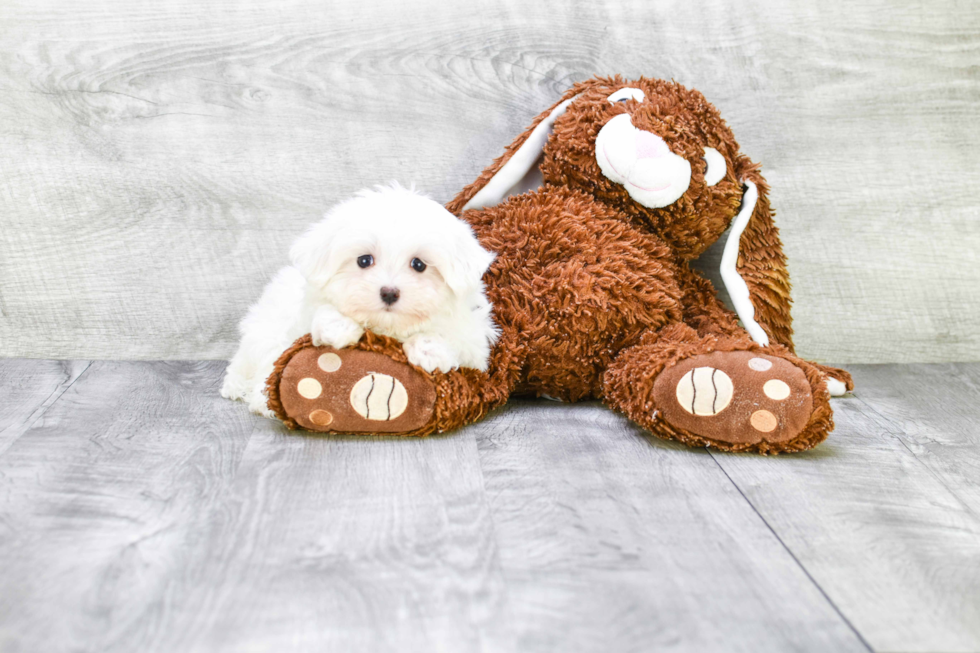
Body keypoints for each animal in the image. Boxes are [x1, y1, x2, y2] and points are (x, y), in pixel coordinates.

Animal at [221, 186, 498, 416]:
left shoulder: (476, 342)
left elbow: (457, 342)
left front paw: (429, 349)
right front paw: (338, 327)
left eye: (419, 265)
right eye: (364, 260)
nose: (389, 292)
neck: (387, 329)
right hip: (264, 329)